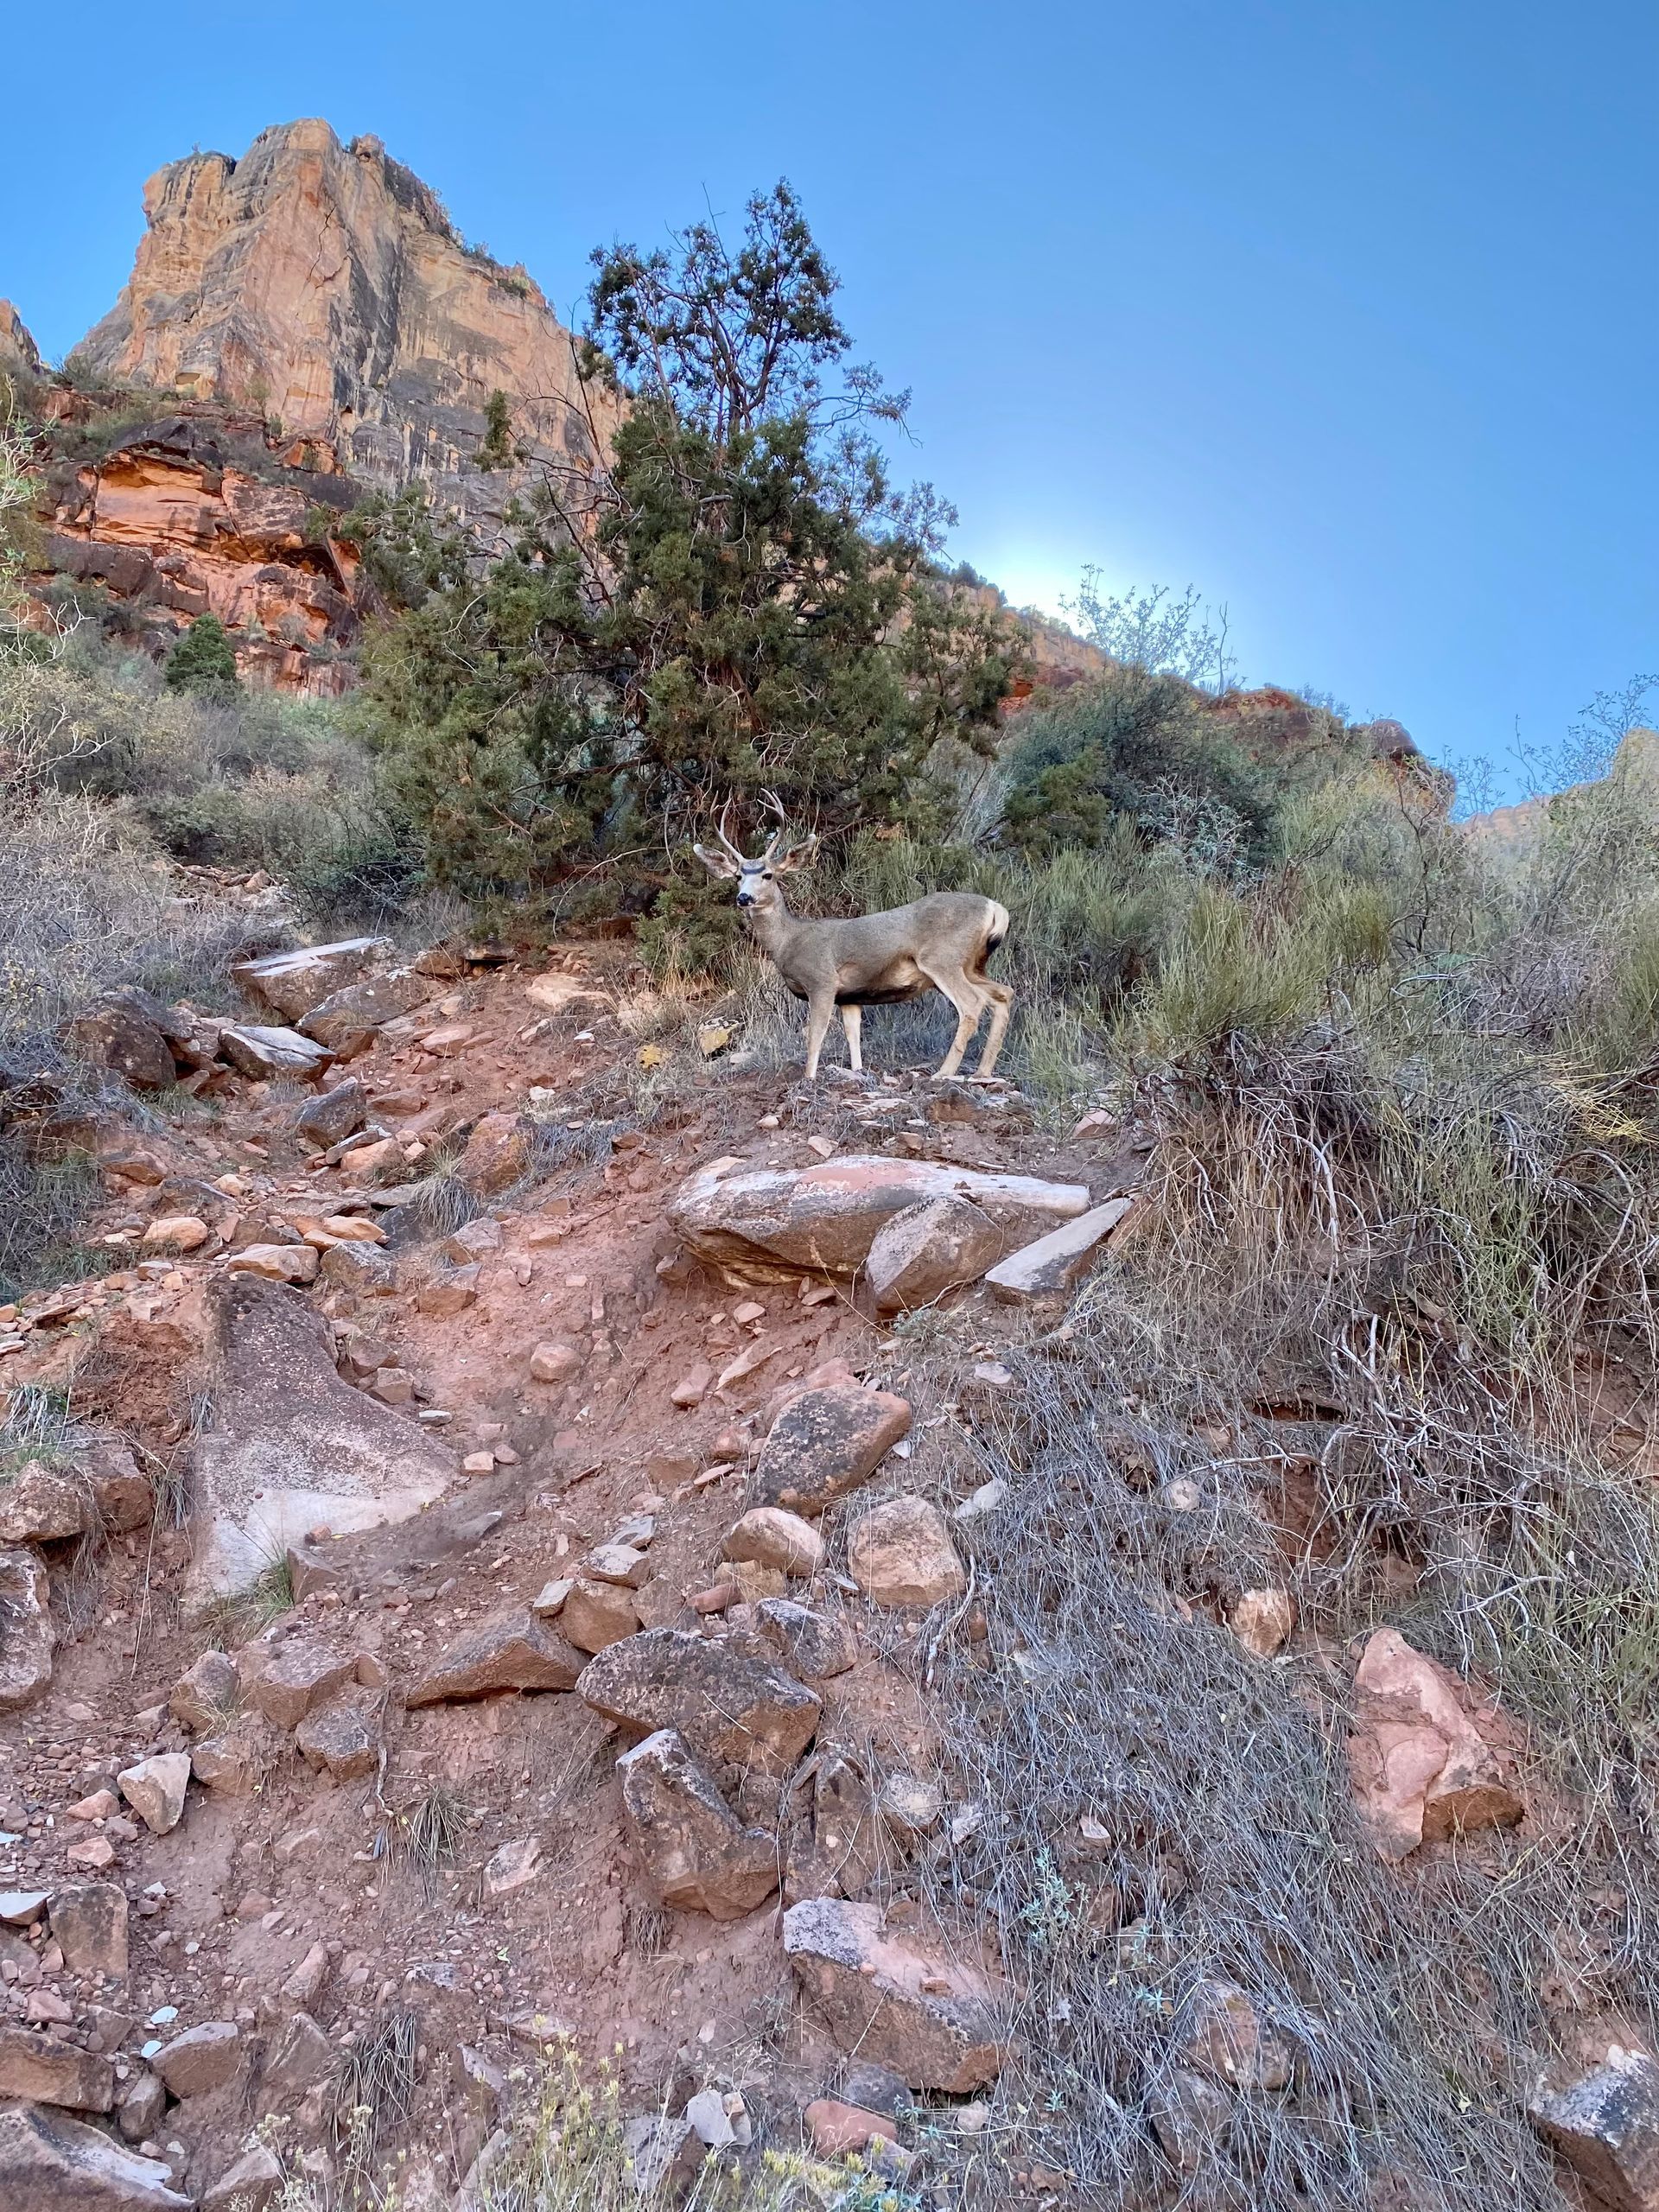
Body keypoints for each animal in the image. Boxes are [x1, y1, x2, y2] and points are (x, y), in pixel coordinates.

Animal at [693, 804, 1014, 1082]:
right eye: (737, 876)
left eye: (768, 874)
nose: (744, 897)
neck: (789, 941)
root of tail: (995, 907)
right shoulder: (850, 996)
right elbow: (853, 1036)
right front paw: (857, 1071)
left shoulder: (822, 981)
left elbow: (815, 1037)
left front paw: (809, 1078)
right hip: (972, 965)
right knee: (1003, 993)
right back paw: (982, 1072)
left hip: (942, 958)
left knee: (972, 1004)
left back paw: (944, 1072)